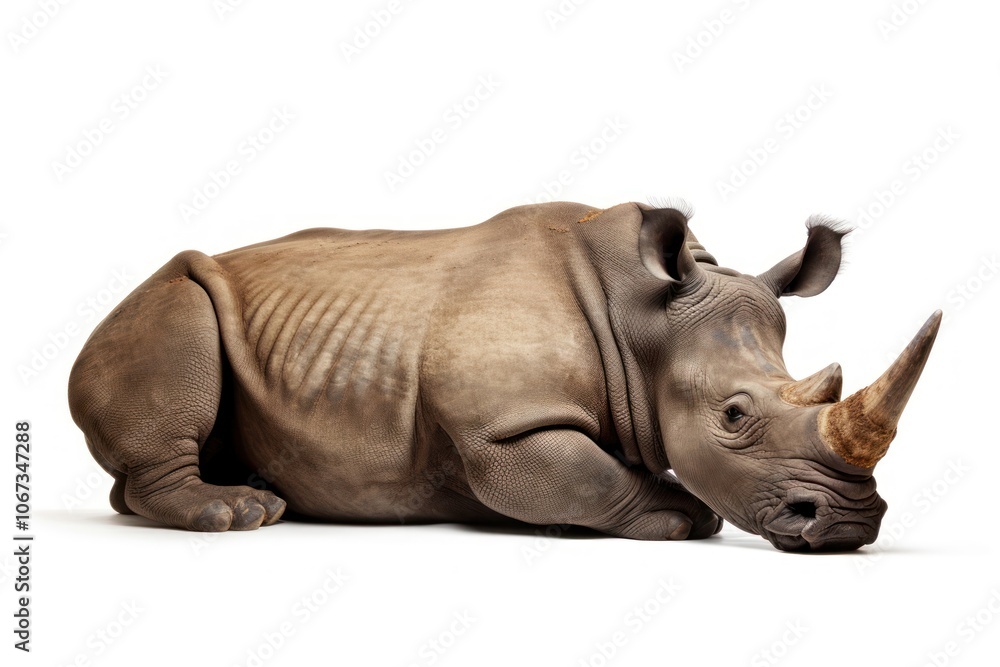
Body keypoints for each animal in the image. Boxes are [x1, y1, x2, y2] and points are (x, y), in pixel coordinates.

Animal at [68, 201, 940, 552]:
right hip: (166, 298)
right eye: (733, 415)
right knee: (178, 314)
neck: (645, 324)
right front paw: (681, 515)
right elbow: (589, 476)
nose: (849, 526)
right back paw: (242, 512)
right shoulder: (506, 425)